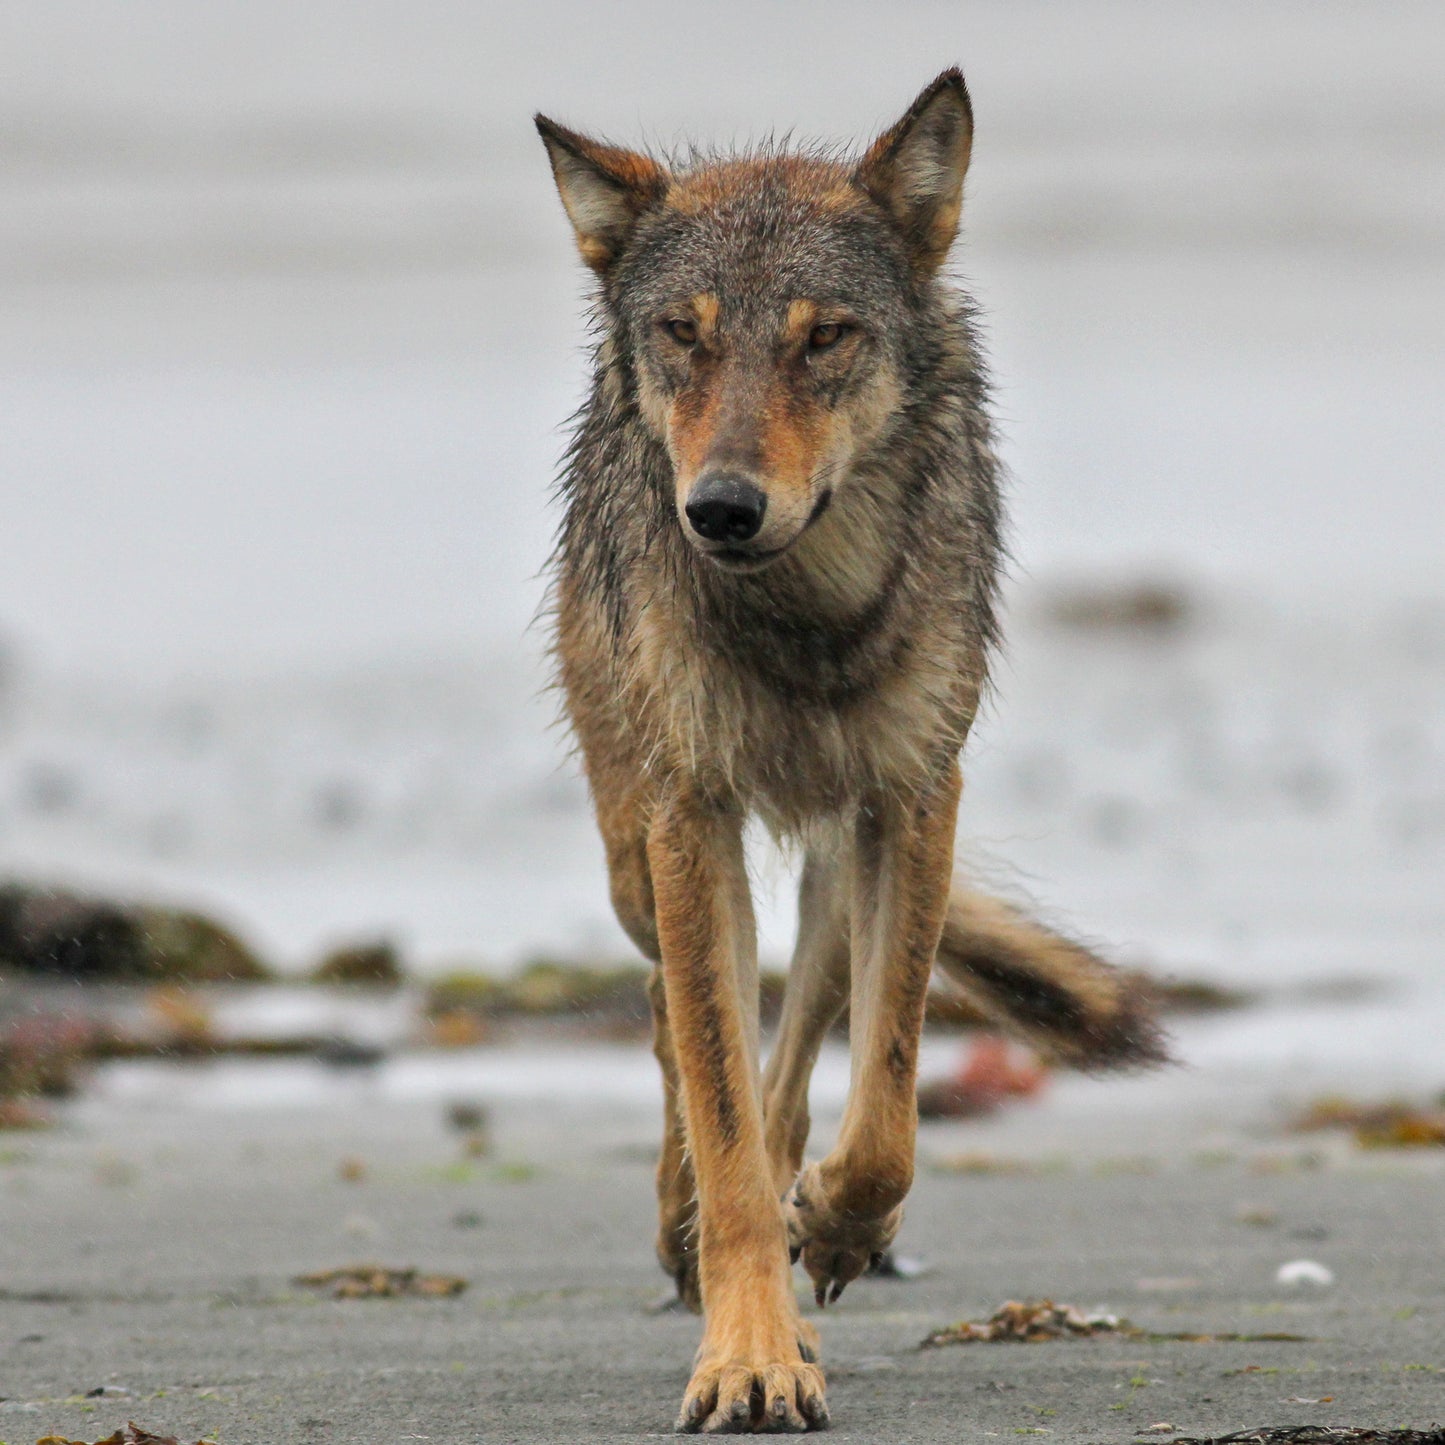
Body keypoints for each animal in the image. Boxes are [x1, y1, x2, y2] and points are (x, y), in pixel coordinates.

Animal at [537, 67, 1167, 1433]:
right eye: (683, 335)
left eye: (823, 337)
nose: (718, 509)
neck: (807, 615)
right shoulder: (690, 814)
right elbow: (720, 1107)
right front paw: (746, 1355)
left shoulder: (912, 800)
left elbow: (881, 1105)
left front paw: (829, 1225)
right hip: (635, 855)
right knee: (677, 1026)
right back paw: (690, 1228)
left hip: (831, 857)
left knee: (798, 1035)